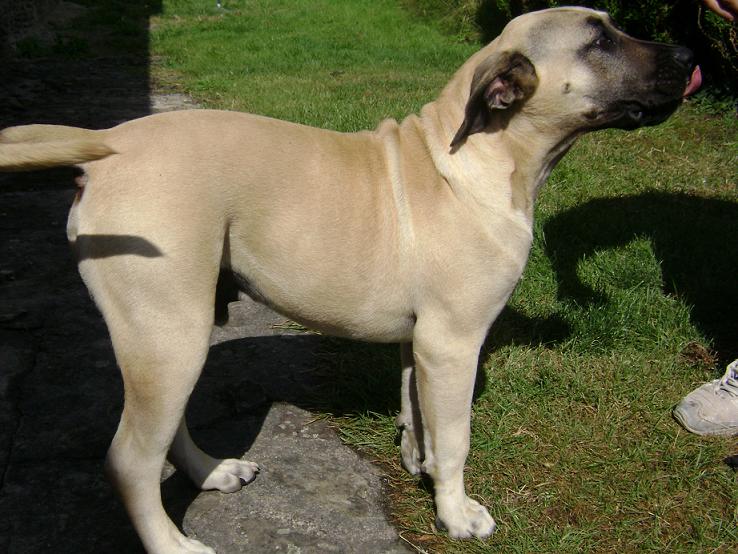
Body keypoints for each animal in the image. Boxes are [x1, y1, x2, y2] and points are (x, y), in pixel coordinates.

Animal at [0, 7, 700, 553]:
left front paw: (417, 462)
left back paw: (213, 472)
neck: (480, 153)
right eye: (599, 40)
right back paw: (173, 542)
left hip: (173, 337)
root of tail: (109, 146)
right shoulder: (454, 344)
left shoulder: (421, 345)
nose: (691, 53)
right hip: (168, 334)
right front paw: (456, 513)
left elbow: (417, 413)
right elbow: (457, 438)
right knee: (130, 461)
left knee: (166, 431)